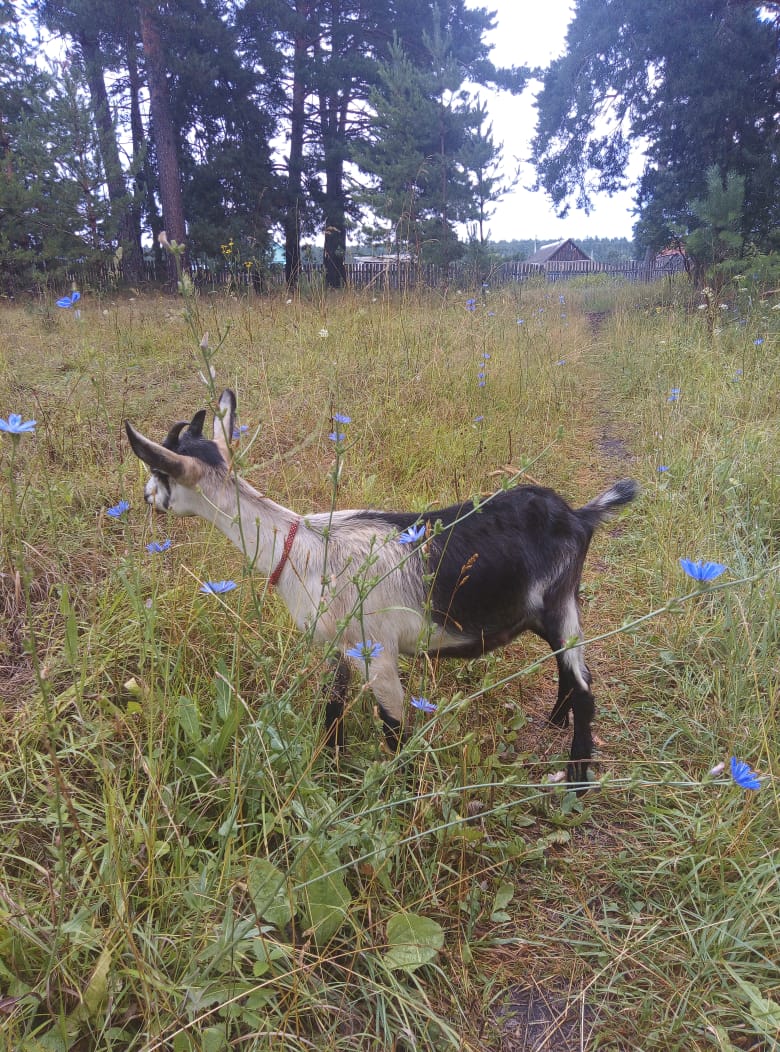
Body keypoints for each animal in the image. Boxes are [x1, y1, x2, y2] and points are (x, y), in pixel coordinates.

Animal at [125, 389, 638, 785]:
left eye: (158, 473)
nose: (146, 498)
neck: (301, 548)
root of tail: (580, 516)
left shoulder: (378, 650)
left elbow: (394, 726)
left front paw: (400, 789)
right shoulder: (341, 647)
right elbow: (332, 707)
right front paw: (329, 765)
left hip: (559, 602)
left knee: (586, 688)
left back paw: (577, 777)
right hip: (550, 609)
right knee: (570, 669)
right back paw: (554, 720)